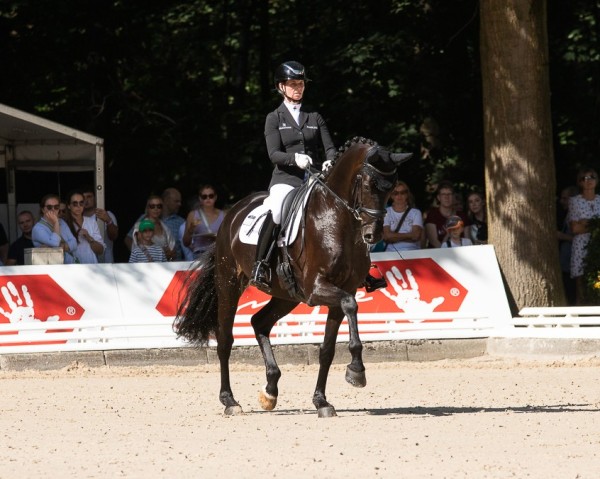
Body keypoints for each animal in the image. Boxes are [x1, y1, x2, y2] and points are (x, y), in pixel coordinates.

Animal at [173, 137, 408, 418]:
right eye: (366, 184)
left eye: (392, 187)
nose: (373, 234)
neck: (338, 220)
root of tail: (232, 213)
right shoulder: (317, 288)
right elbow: (351, 305)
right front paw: (356, 372)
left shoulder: (340, 291)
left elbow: (327, 349)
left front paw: (322, 401)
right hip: (228, 283)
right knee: (225, 340)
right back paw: (230, 400)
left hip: (286, 295)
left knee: (259, 322)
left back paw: (270, 390)